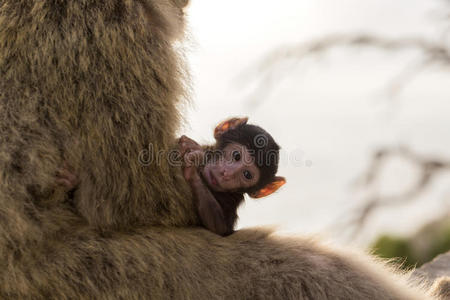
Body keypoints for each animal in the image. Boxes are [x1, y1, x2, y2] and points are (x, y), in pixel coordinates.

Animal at [0, 1, 440, 298]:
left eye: (244, 171)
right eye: (234, 159)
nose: (226, 174)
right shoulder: (108, 33)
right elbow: (130, 203)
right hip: (98, 277)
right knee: (313, 270)